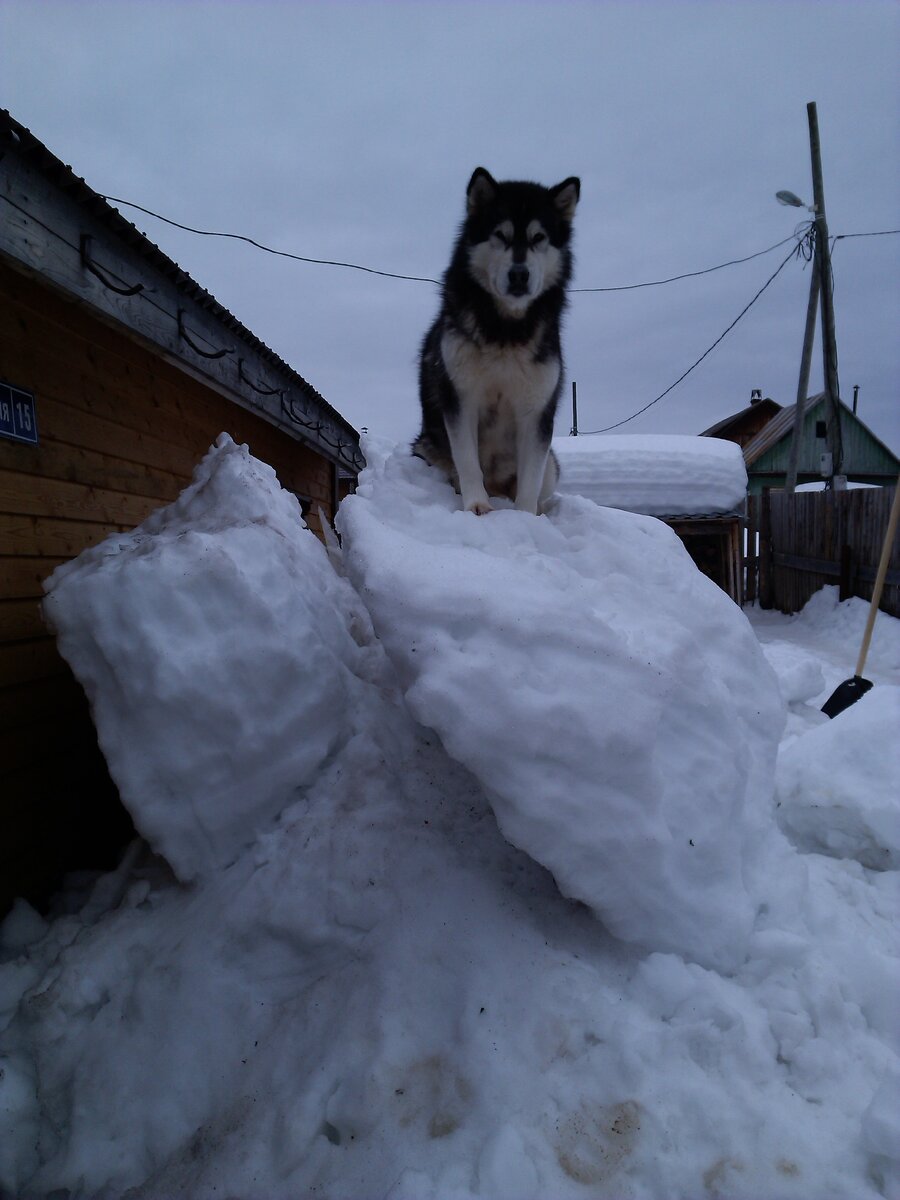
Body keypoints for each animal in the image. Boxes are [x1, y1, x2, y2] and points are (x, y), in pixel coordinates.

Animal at [415, 166, 580, 513]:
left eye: (538, 238)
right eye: (500, 235)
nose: (519, 274)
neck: (507, 329)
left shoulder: (536, 410)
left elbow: (530, 479)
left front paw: (526, 517)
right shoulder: (462, 396)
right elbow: (467, 461)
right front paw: (476, 506)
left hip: (552, 467)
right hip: (426, 448)